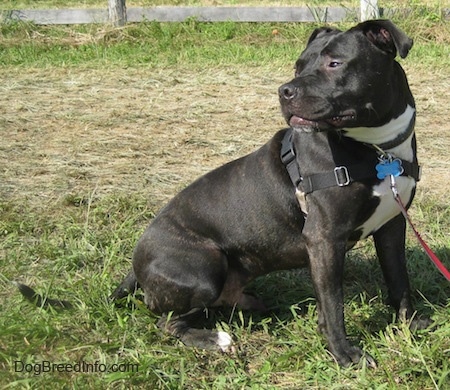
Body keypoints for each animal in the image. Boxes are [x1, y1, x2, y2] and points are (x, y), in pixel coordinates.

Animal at [109, 19, 428, 368]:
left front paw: (410, 323)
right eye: (298, 66)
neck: (378, 149)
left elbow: (398, 279)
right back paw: (215, 339)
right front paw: (345, 354)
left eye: (335, 63)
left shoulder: (391, 225)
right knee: (169, 323)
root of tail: (135, 263)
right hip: (204, 268)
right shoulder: (325, 238)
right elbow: (334, 304)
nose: (284, 91)